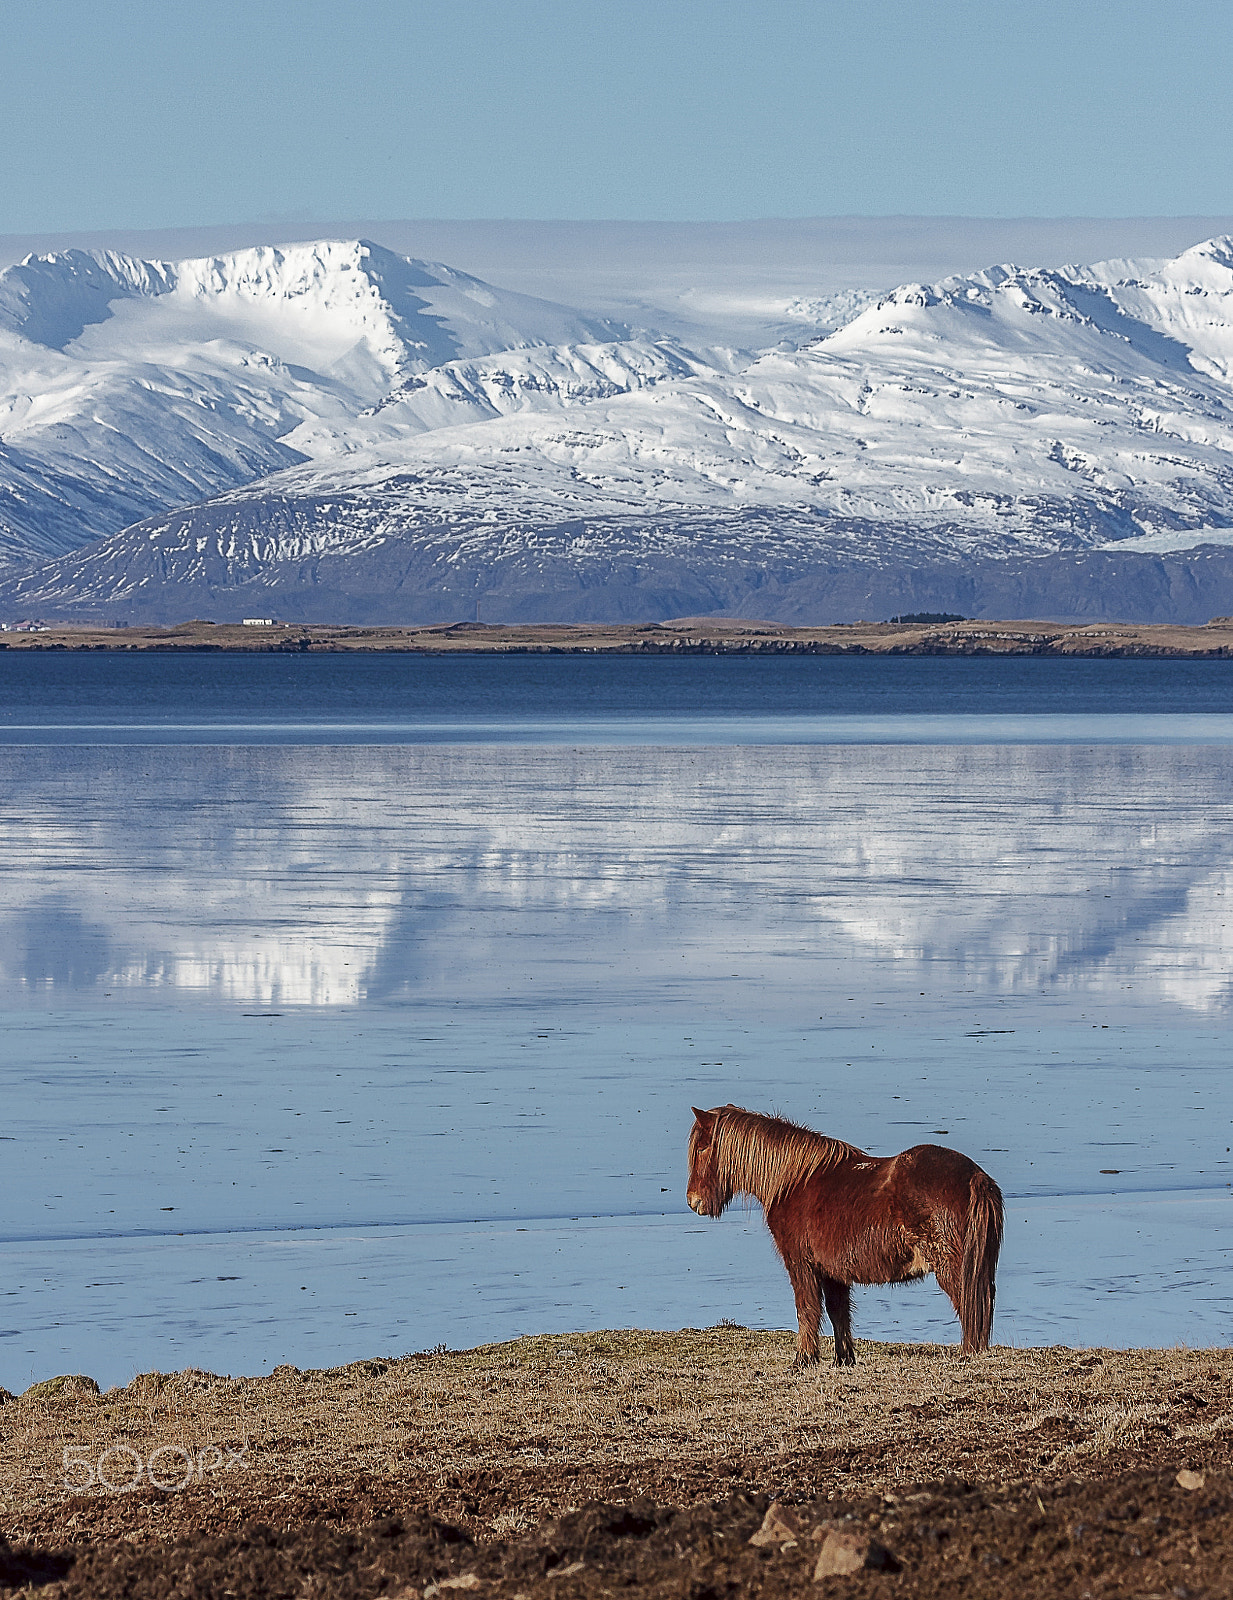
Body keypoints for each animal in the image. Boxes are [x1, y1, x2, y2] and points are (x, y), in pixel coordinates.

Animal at [686, 1104, 1003, 1367]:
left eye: (702, 1148)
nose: (693, 1201)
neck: (794, 1182)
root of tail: (975, 1177)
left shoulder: (801, 1264)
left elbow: (807, 1308)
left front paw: (803, 1360)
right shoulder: (832, 1271)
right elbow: (837, 1311)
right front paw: (843, 1359)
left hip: (954, 1268)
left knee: (969, 1306)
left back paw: (968, 1354)